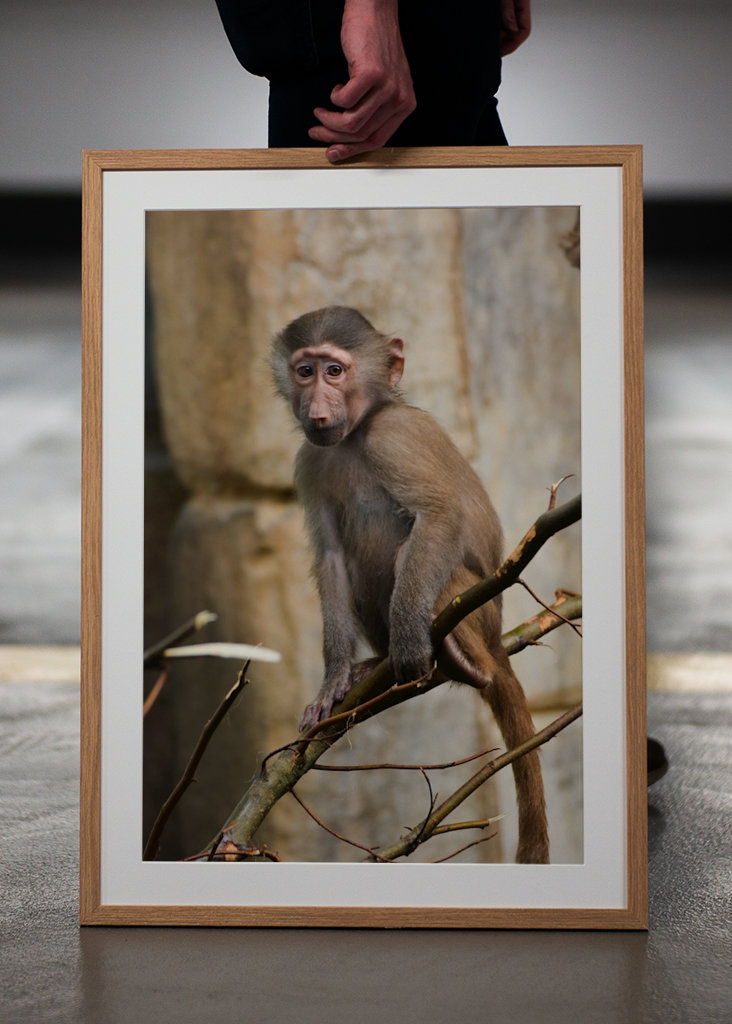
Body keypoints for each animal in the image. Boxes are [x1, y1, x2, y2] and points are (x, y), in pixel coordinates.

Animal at [271, 305, 548, 864]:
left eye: (335, 370)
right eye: (304, 371)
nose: (316, 407)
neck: (357, 434)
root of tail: (496, 640)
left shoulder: (393, 438)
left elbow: (439, 516)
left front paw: (407, 642)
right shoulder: (310, 461)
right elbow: (331, 560)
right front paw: (334, 679)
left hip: (478, 608)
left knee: (416, 552)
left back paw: (457, 658)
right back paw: (375, 666)